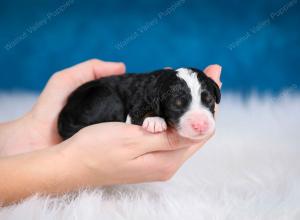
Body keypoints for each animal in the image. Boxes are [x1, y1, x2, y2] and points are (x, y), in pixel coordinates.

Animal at [57, 67, 220, 139]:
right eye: (177, 104)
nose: (201, 125)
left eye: (209, 100)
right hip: (105, 96)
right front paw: (155, 121)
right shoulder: (137, 105)